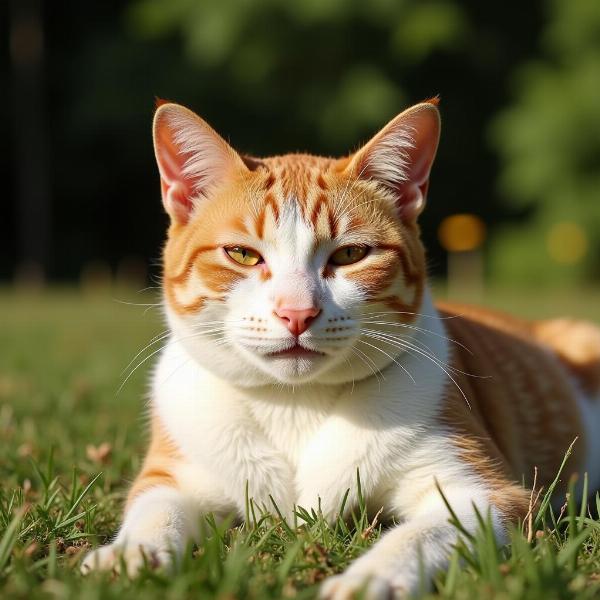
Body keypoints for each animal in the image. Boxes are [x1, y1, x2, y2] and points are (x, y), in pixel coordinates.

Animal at [82, 98, 600, 596]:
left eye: (350, 254)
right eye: (243, 254)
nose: (296, 313)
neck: (293, 403)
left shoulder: (487, 494)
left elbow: (422, 534)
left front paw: (370, 579)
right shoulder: (172, 475)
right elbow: (155, 512)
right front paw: (127, 557)